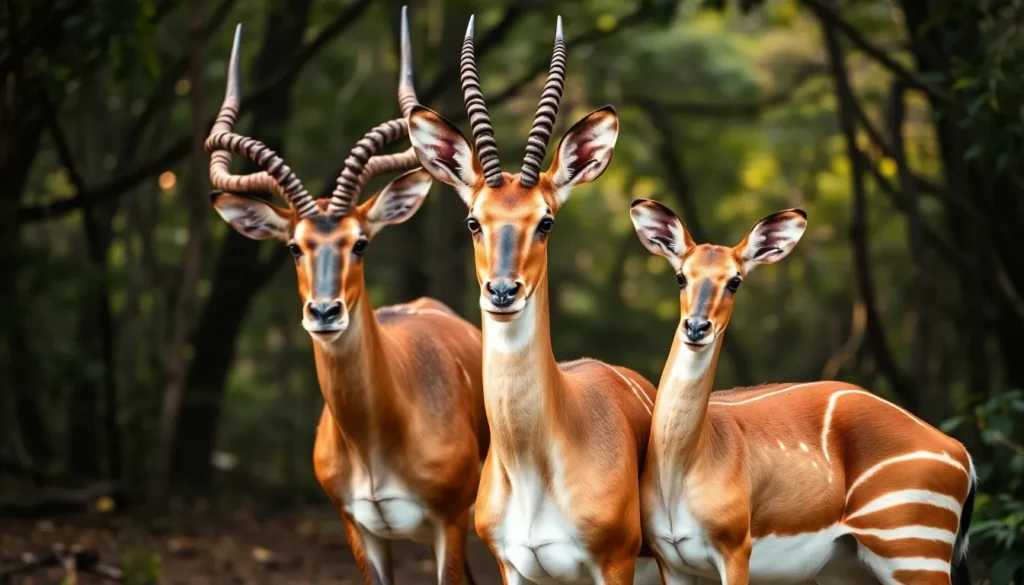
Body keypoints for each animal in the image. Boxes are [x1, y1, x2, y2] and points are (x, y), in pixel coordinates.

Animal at [205, 12, 489, 585]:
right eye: (294, 246)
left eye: (360, 242)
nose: (324, 312)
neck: (374, 442)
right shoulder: (358, 528)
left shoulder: (448, 524)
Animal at [628, 198, 976, 585]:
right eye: (680, 276)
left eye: (735, 281)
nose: (697, 327)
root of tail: (963, 457)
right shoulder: (672, 559)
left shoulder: (736, 545)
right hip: (855, 564)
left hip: (912, 543)